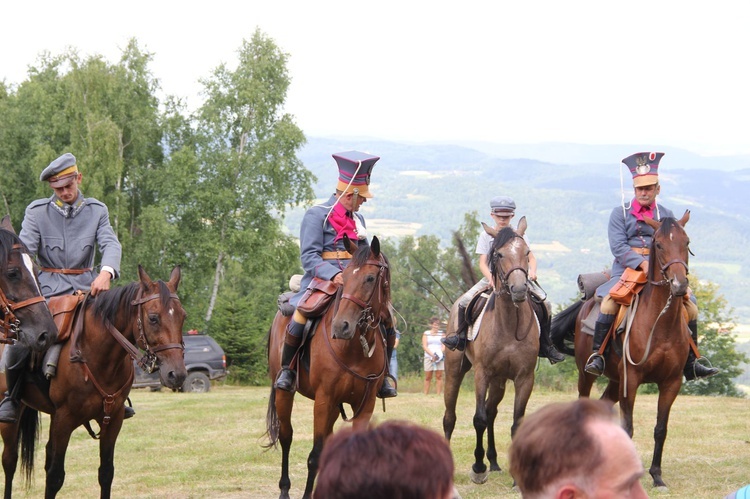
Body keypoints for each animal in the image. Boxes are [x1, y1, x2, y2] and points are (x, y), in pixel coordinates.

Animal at [0, 268, 187, 498]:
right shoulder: (64, 420)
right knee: (10, 461)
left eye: (183, 317)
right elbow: (55, 477)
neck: (97, 356)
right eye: (153, 318)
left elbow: (106, 473)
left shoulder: (112, 420)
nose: (177, 374)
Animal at [266, 236, 394, 498]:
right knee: (286, 436)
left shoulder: (364, 404)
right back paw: (284, 489)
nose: (341, 326)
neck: (354, 348)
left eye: (370, 278)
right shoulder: (324, 400)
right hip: (285, 394)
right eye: (343, 277)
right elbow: (315, 456)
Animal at [440, 218, 540, 484]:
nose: (519, 289)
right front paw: (477, 467)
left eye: (527, 252)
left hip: (499, 381)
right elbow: (478, 418)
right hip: (455, 371)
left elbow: (516, 422)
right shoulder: (481, 373)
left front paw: (517, 477)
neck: (508, 324)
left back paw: (493, 461)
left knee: (492, 411)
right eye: (499, 254)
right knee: (450, 416)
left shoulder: (524, 377)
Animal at [548, 213, 696, 490]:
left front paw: (656, 475)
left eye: (687, 242)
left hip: (615, 382)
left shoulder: (671, 383)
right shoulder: (631, 380)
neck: (660, 324)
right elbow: (628, 428)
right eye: (659, 244)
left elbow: (661, 429)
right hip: (588, 375)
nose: (680, 285)